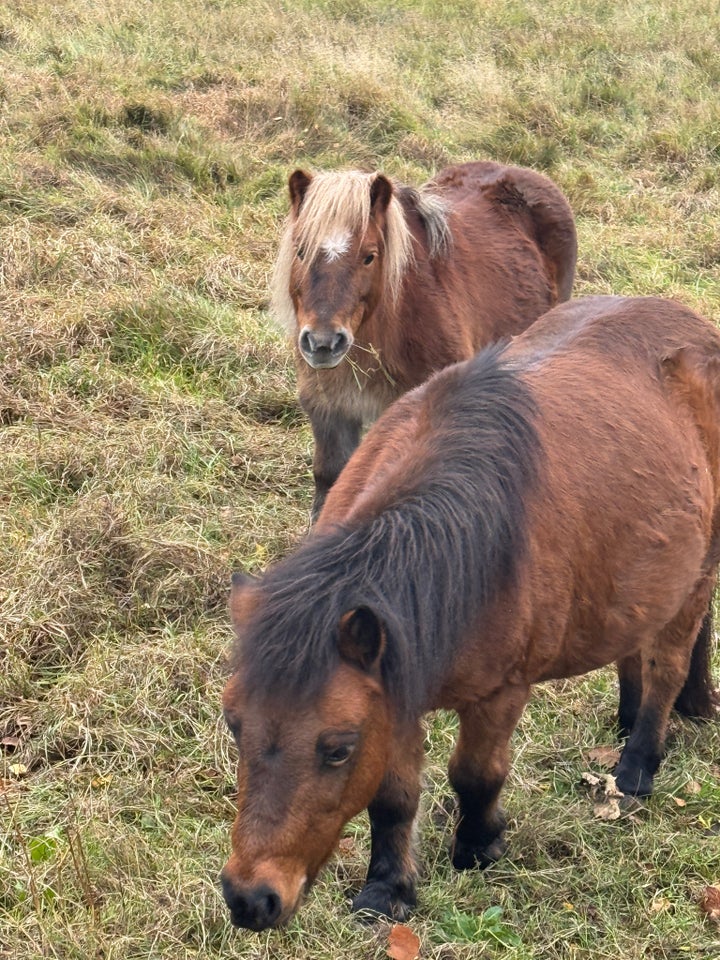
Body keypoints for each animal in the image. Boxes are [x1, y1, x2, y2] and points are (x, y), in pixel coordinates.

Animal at [222, 296, 716, 928]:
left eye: (337, 749)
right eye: (235, 725)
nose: (249, 899)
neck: (461, 545)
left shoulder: (498, 694)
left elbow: (475, 775)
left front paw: (480, 845)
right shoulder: (393, 690)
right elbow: (393, 798)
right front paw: (388, 890)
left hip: (697, 577)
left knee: (668, 667)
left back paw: (637, 765)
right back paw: (628, 721)